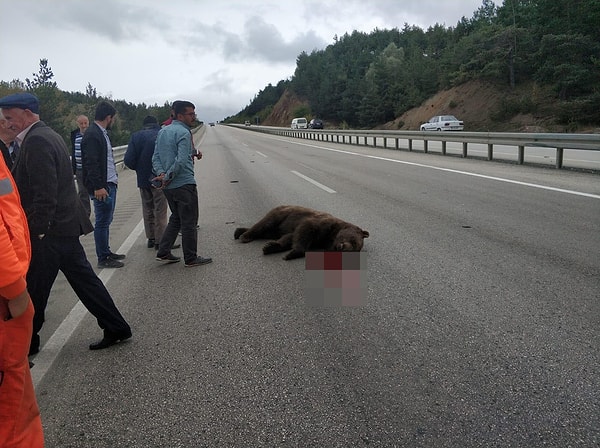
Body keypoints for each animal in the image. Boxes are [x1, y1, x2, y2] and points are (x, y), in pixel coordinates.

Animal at [236, 204, 370, 260]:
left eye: (354, 249)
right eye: (353, 240)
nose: (342, 247)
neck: (331, 238)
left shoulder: (318, 240)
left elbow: (290, 238)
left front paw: (270, 247)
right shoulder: (319, 224)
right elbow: (305, 231)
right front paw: (291, 254)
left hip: (277, 228)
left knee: (267, 231)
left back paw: (239, 231)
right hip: (281, 214)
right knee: (264, 224)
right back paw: (244, 235)